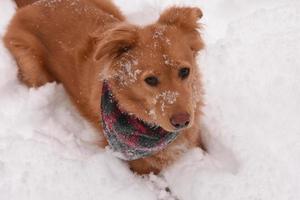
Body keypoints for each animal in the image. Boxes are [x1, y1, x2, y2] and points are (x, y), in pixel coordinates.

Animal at [4, 0, 205, 174]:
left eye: (185, 71)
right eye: (151, 80)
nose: (182, 121)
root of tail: (33, 4)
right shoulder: (138, 166)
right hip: (33, 66)